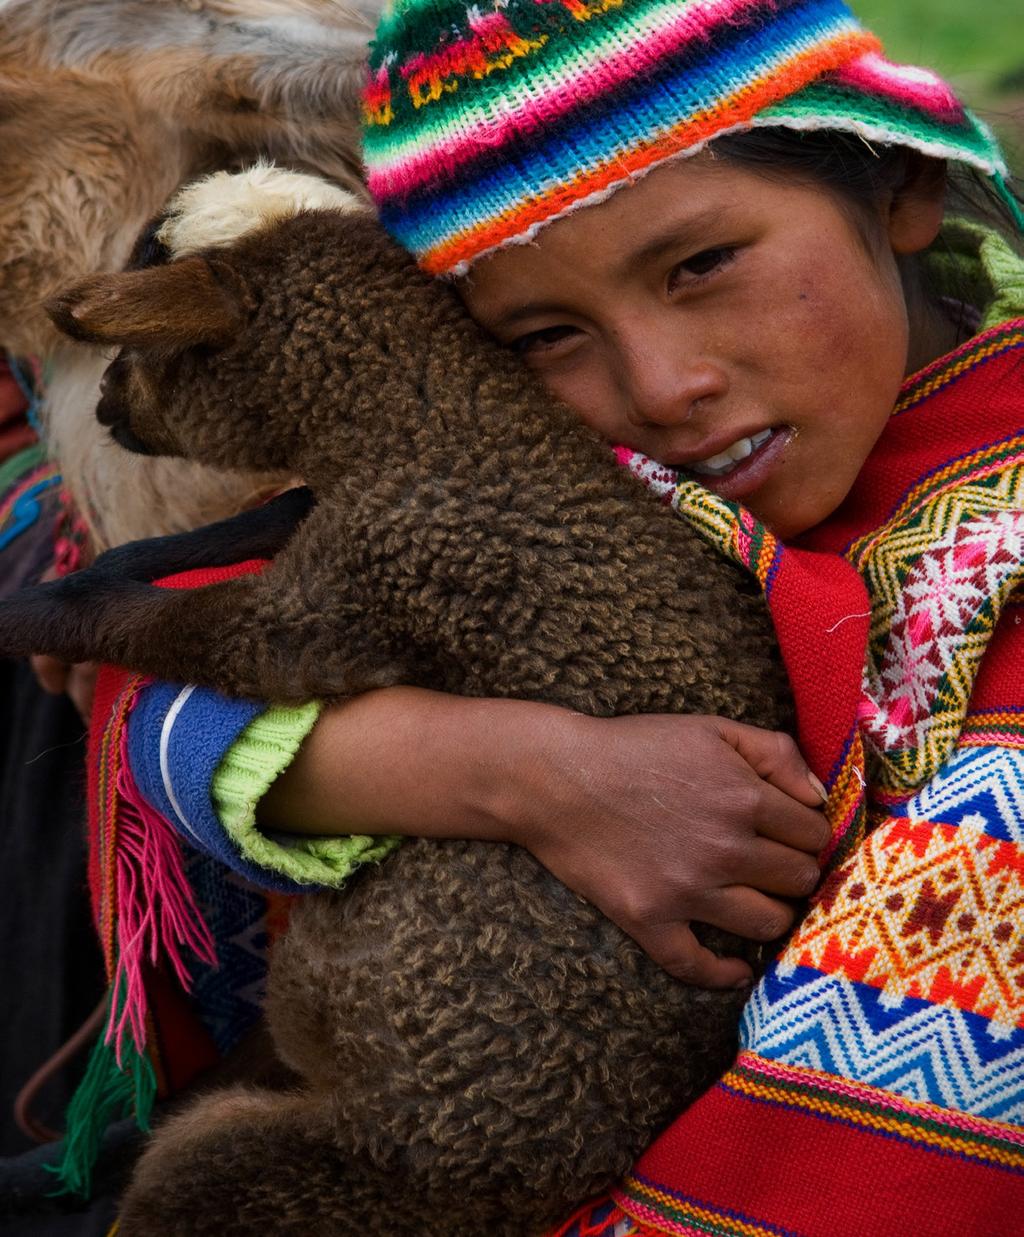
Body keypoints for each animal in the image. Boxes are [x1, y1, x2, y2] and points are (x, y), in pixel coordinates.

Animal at [0, 169, 791, 1232]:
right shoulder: (314, 522)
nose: (105, 407)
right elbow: (197, 542)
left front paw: (26, 611)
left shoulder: (345, 593)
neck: (415, 420)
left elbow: (157, 621)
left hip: (288, 1166)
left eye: (147, 347)